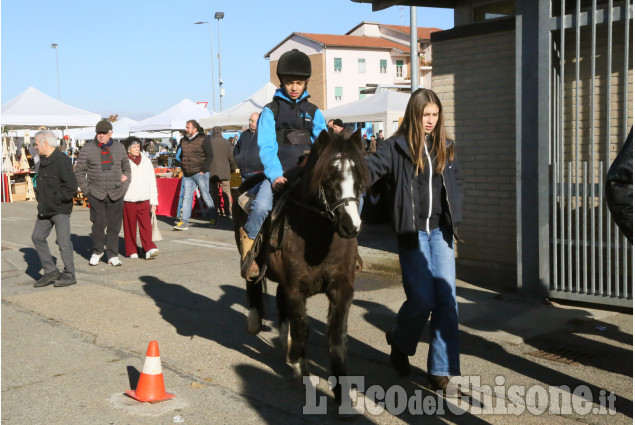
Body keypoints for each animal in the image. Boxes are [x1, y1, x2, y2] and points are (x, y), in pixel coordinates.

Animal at [235, 129, 370, 404]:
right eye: (328, 178)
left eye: (358, 177)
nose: (351, 226)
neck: (317, 237)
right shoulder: (296, 289)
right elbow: (302, 327)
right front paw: (301, 370)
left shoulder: (342, 289)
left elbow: (338, 337)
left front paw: (343, 394)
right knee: (251, 281)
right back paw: (255, 323)